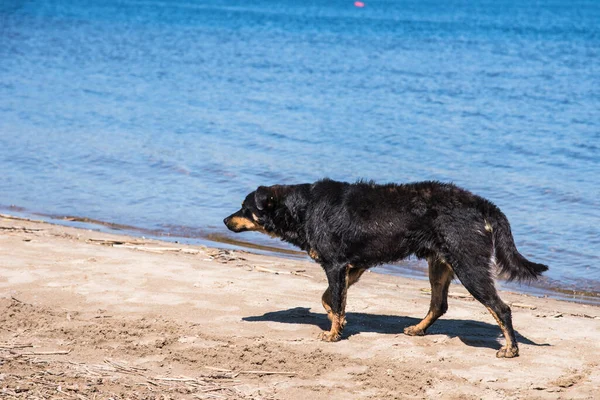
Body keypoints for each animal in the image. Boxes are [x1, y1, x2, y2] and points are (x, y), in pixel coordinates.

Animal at [225, 180, 548, 358]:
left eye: (244, 207)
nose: (226, 220)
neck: (302, 209)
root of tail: (482, 204)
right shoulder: (353, 266)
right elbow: (330, 299)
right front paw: (336, 322)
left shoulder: (336, 265)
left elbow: (334, 300)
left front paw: (332, 334)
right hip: (439, 265)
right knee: (439, 305)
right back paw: (418, 329)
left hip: (469, 266)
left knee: (501, 308)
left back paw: (511, 349)